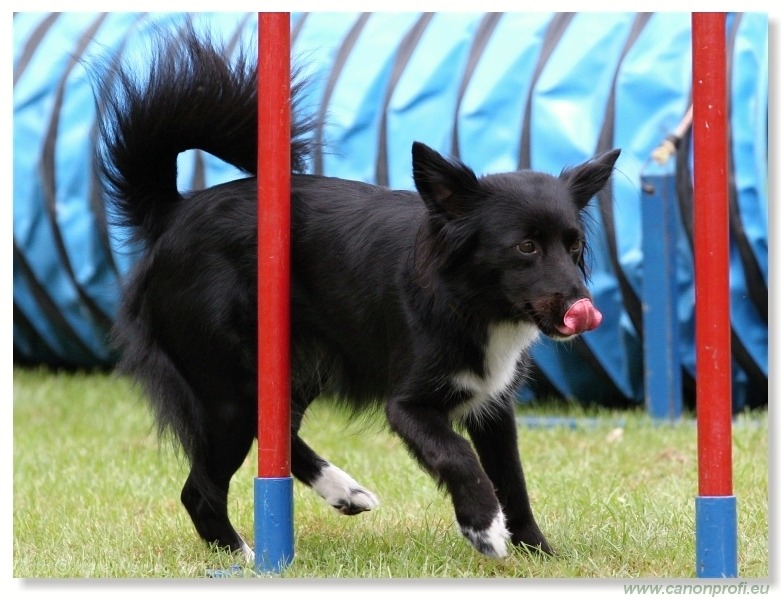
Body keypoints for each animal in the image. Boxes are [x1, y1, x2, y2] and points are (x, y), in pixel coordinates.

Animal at [97, 25, 620, 560]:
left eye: (574, 245)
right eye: (525, 247)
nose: (582, 306)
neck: (468, 302)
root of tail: (174, 213)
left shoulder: (493, 406)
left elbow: (512, 478)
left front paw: (537, 550)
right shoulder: (409, 405)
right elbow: (458, 455)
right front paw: (484, 528)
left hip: (293, 371)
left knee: (277, 432)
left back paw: (342, 490)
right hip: (227, 391)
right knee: (199, 489)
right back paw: (245, 555)